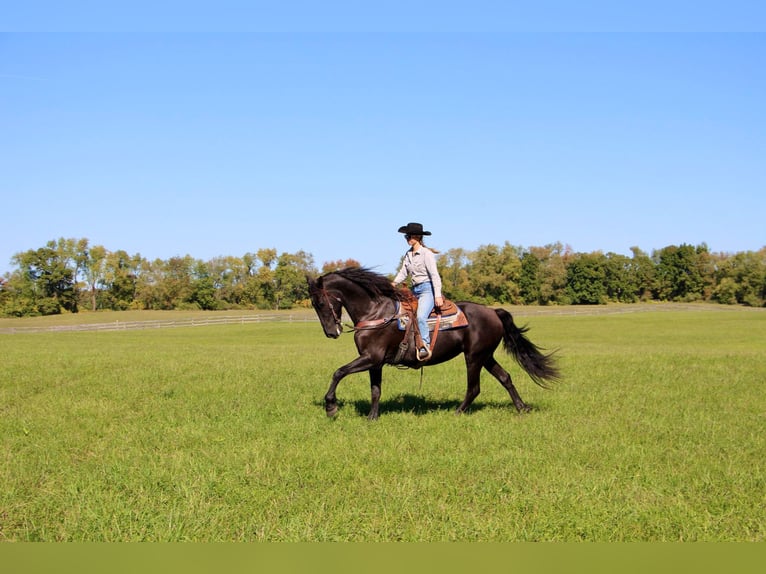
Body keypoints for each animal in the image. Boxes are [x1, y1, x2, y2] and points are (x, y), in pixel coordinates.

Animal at [308, 268, 564, 420]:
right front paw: (372, 417)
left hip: (474, 357)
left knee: (474, 388)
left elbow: (339, 372)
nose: (331, 332)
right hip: (486, 356)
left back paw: (457, 412)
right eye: (313, 304)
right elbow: (375, 390)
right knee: (505, 378)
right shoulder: (375, 362)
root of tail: (493, 311)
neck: (376, 312)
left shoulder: (371, 357)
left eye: (320, 302)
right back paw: (522, 407)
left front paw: (331, 406)